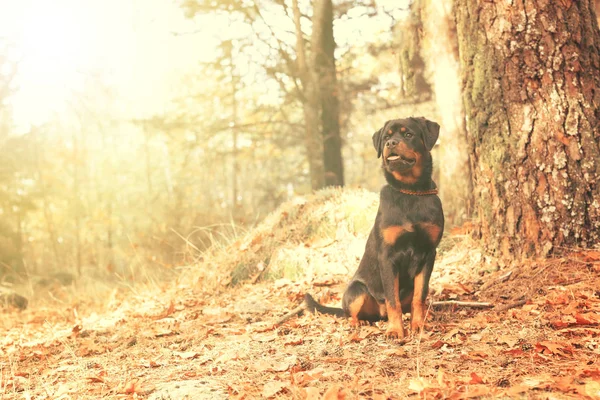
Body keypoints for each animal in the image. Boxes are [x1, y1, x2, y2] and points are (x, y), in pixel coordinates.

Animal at [308, 117, 442, 340]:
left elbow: (419, 297)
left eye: (408, 134)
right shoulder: (388, 256)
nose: (391, 143)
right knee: (352, 313)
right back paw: (359, 322)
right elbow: (392, 300)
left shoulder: (428, 253)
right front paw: (395, 330)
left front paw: (418, 325)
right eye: (386, 137)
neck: (410, 192)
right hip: (357, 290)